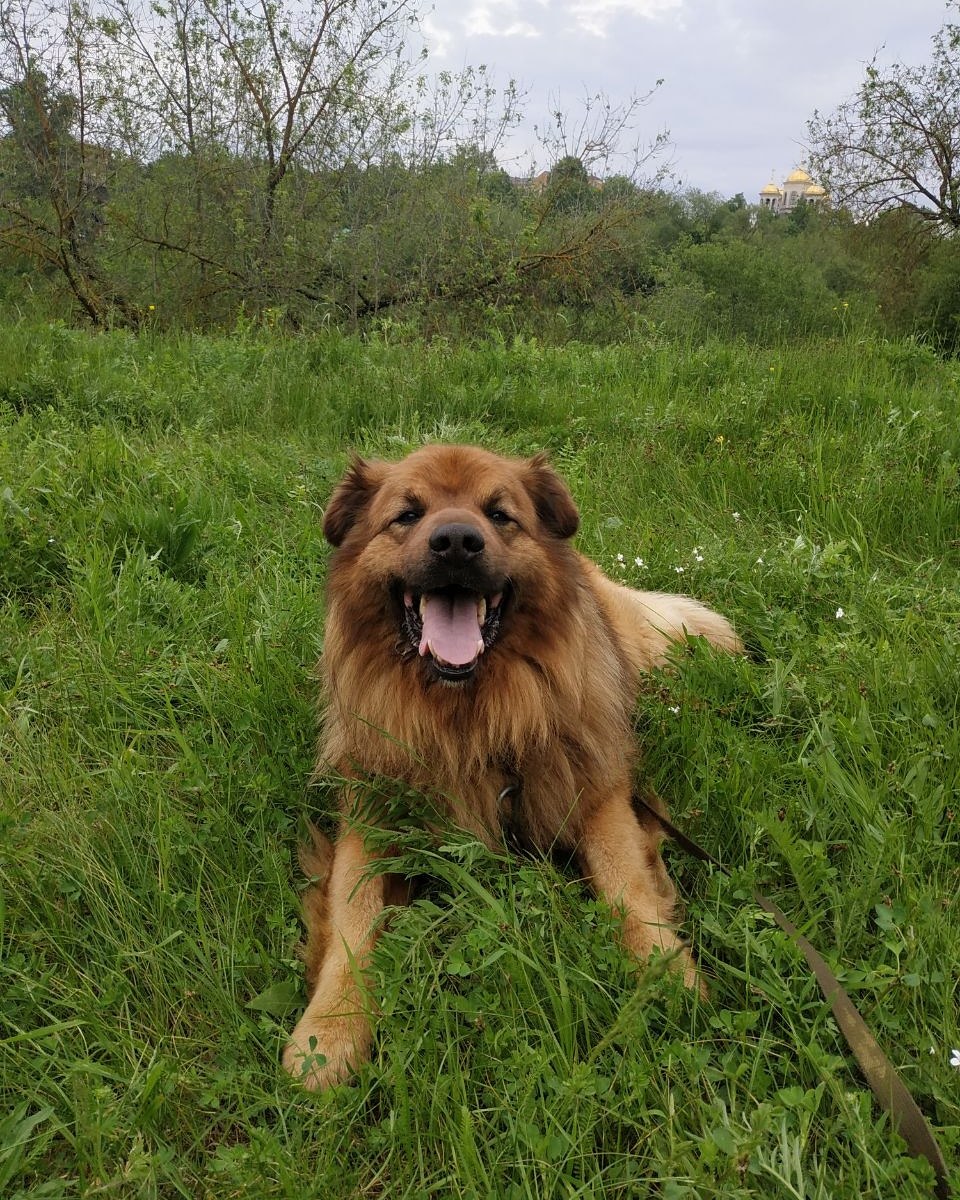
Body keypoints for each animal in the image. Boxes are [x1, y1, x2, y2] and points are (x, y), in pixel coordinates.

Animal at [280, 446, 739, 1094]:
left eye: (500, 514)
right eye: (407, 514)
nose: (455, 542)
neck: (468, 718)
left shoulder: (596, 793)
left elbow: (628, 887)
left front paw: (666, 974)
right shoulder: (370, 821)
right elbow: (353, 921)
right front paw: (330, 1033)